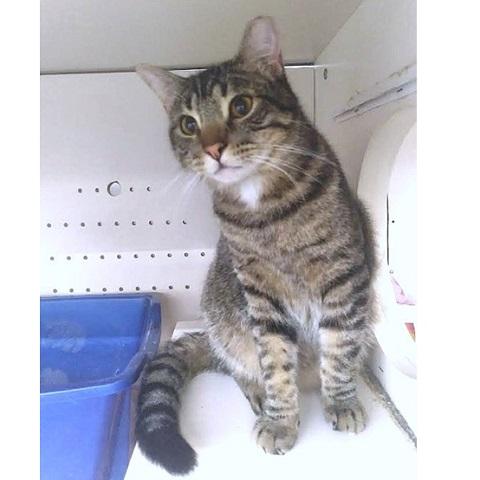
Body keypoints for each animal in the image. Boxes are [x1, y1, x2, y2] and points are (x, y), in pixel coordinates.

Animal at [135, 16, 377, 475]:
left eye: (241, 105)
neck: (265, 212)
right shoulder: (260, 294)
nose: (213, 148)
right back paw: (258, 393)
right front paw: (280, 420)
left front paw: (341, 400)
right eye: (188, 124)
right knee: (240, 367)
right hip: (226, 323)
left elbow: (339, 347)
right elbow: (275, 362)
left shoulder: (342, 274)